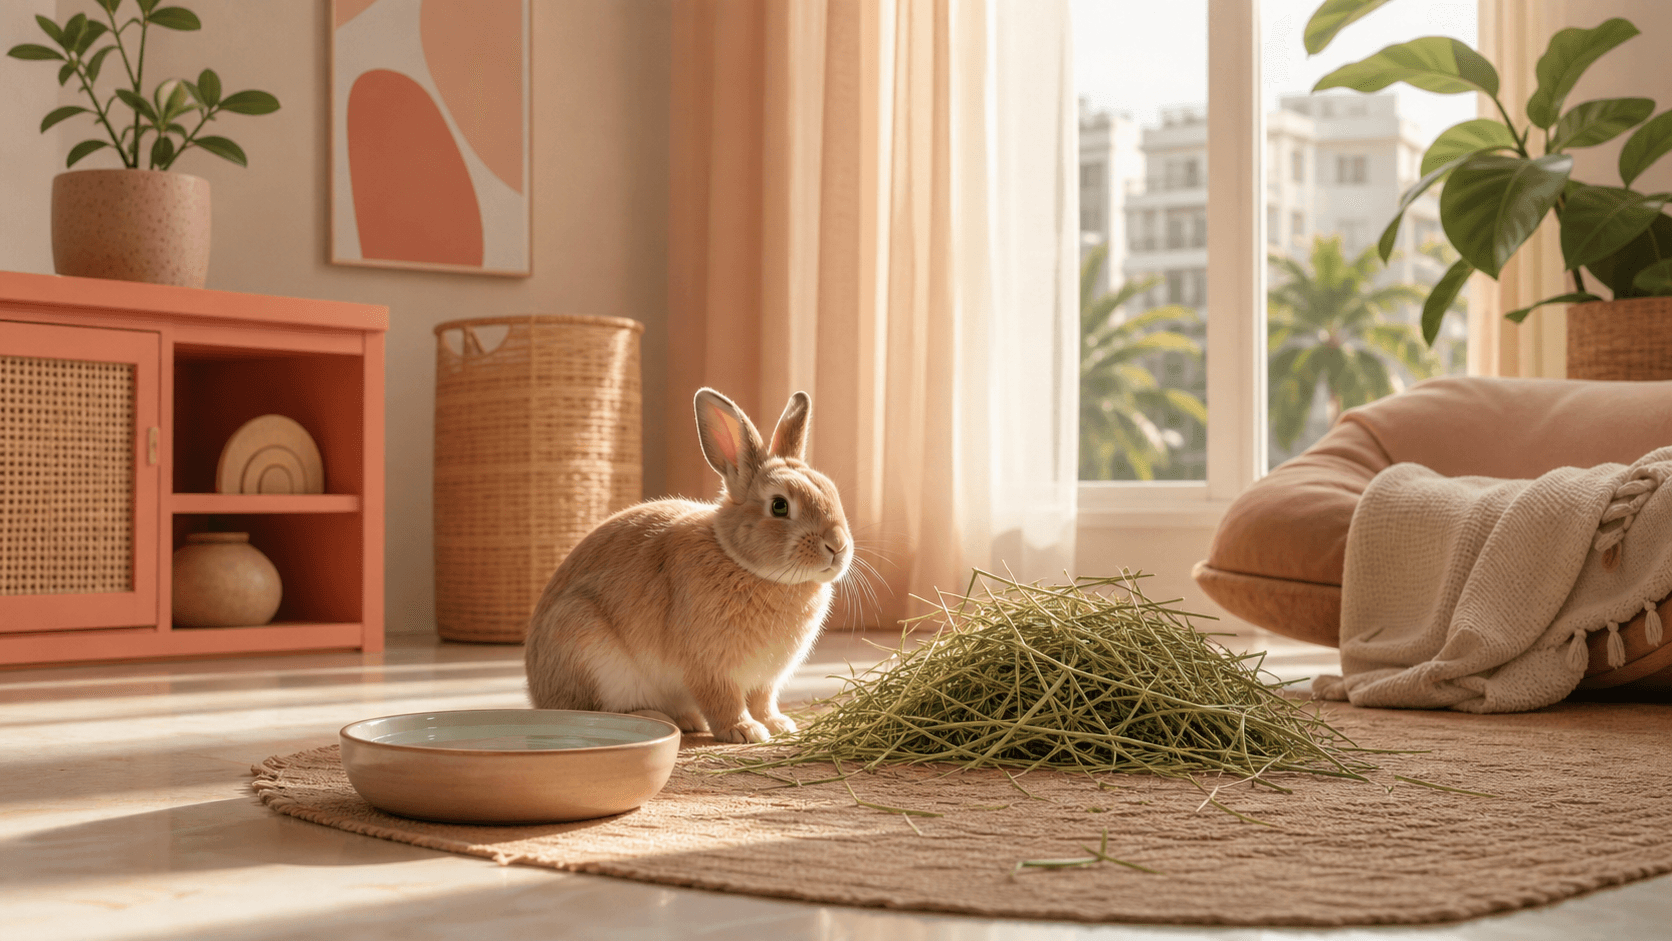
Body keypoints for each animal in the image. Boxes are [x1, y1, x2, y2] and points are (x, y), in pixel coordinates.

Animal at [524, 387, 854, 743]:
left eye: (832, 492)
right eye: (780, 506)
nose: (838, 546)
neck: (741, 563)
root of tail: (538, 696)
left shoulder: (764, 679)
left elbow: (763, 701)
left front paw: (778, 725)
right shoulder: (709, 669)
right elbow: (724, 702)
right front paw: (746, 732)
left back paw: (688, 719)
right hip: (590, 651)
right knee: (597, 710)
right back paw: (658, 717)